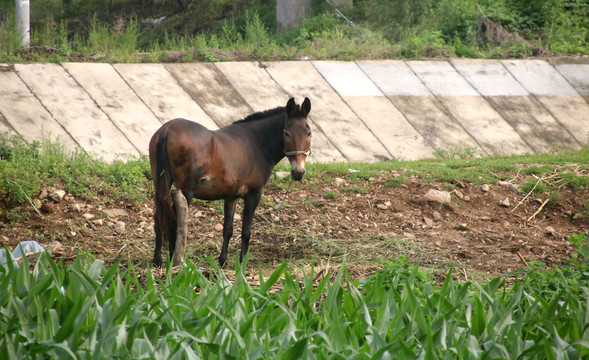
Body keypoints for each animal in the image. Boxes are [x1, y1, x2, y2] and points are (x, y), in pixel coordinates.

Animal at [149, 97, 310, 266]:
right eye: (286, 133)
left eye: (309, 133)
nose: (298, 172)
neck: (257, 143)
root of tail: (167, 130)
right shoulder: (254, 194)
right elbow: (246, 231)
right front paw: (242, 262)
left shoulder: (231, 196)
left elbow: (228, 229)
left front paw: (222, 261)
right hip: (186, 189)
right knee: (175, 220)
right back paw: (176, 259)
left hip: (161, 183)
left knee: (159, 217)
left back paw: (158, 259)